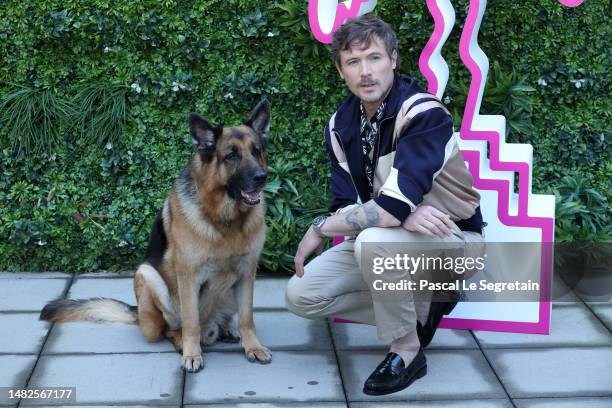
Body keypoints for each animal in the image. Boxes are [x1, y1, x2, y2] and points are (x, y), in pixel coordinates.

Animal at [40, 99, 272, 372]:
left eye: (256, 151)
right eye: (232, 155)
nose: (261, 178)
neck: (225, 221)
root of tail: (137, 314)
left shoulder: (247, 274)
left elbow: (247, 318)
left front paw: (253, 346)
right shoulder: (188, 278)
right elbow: (191, 322)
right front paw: (192, 354)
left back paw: (227, 331)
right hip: (148, 277)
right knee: (171, 329)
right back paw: (184, 343)